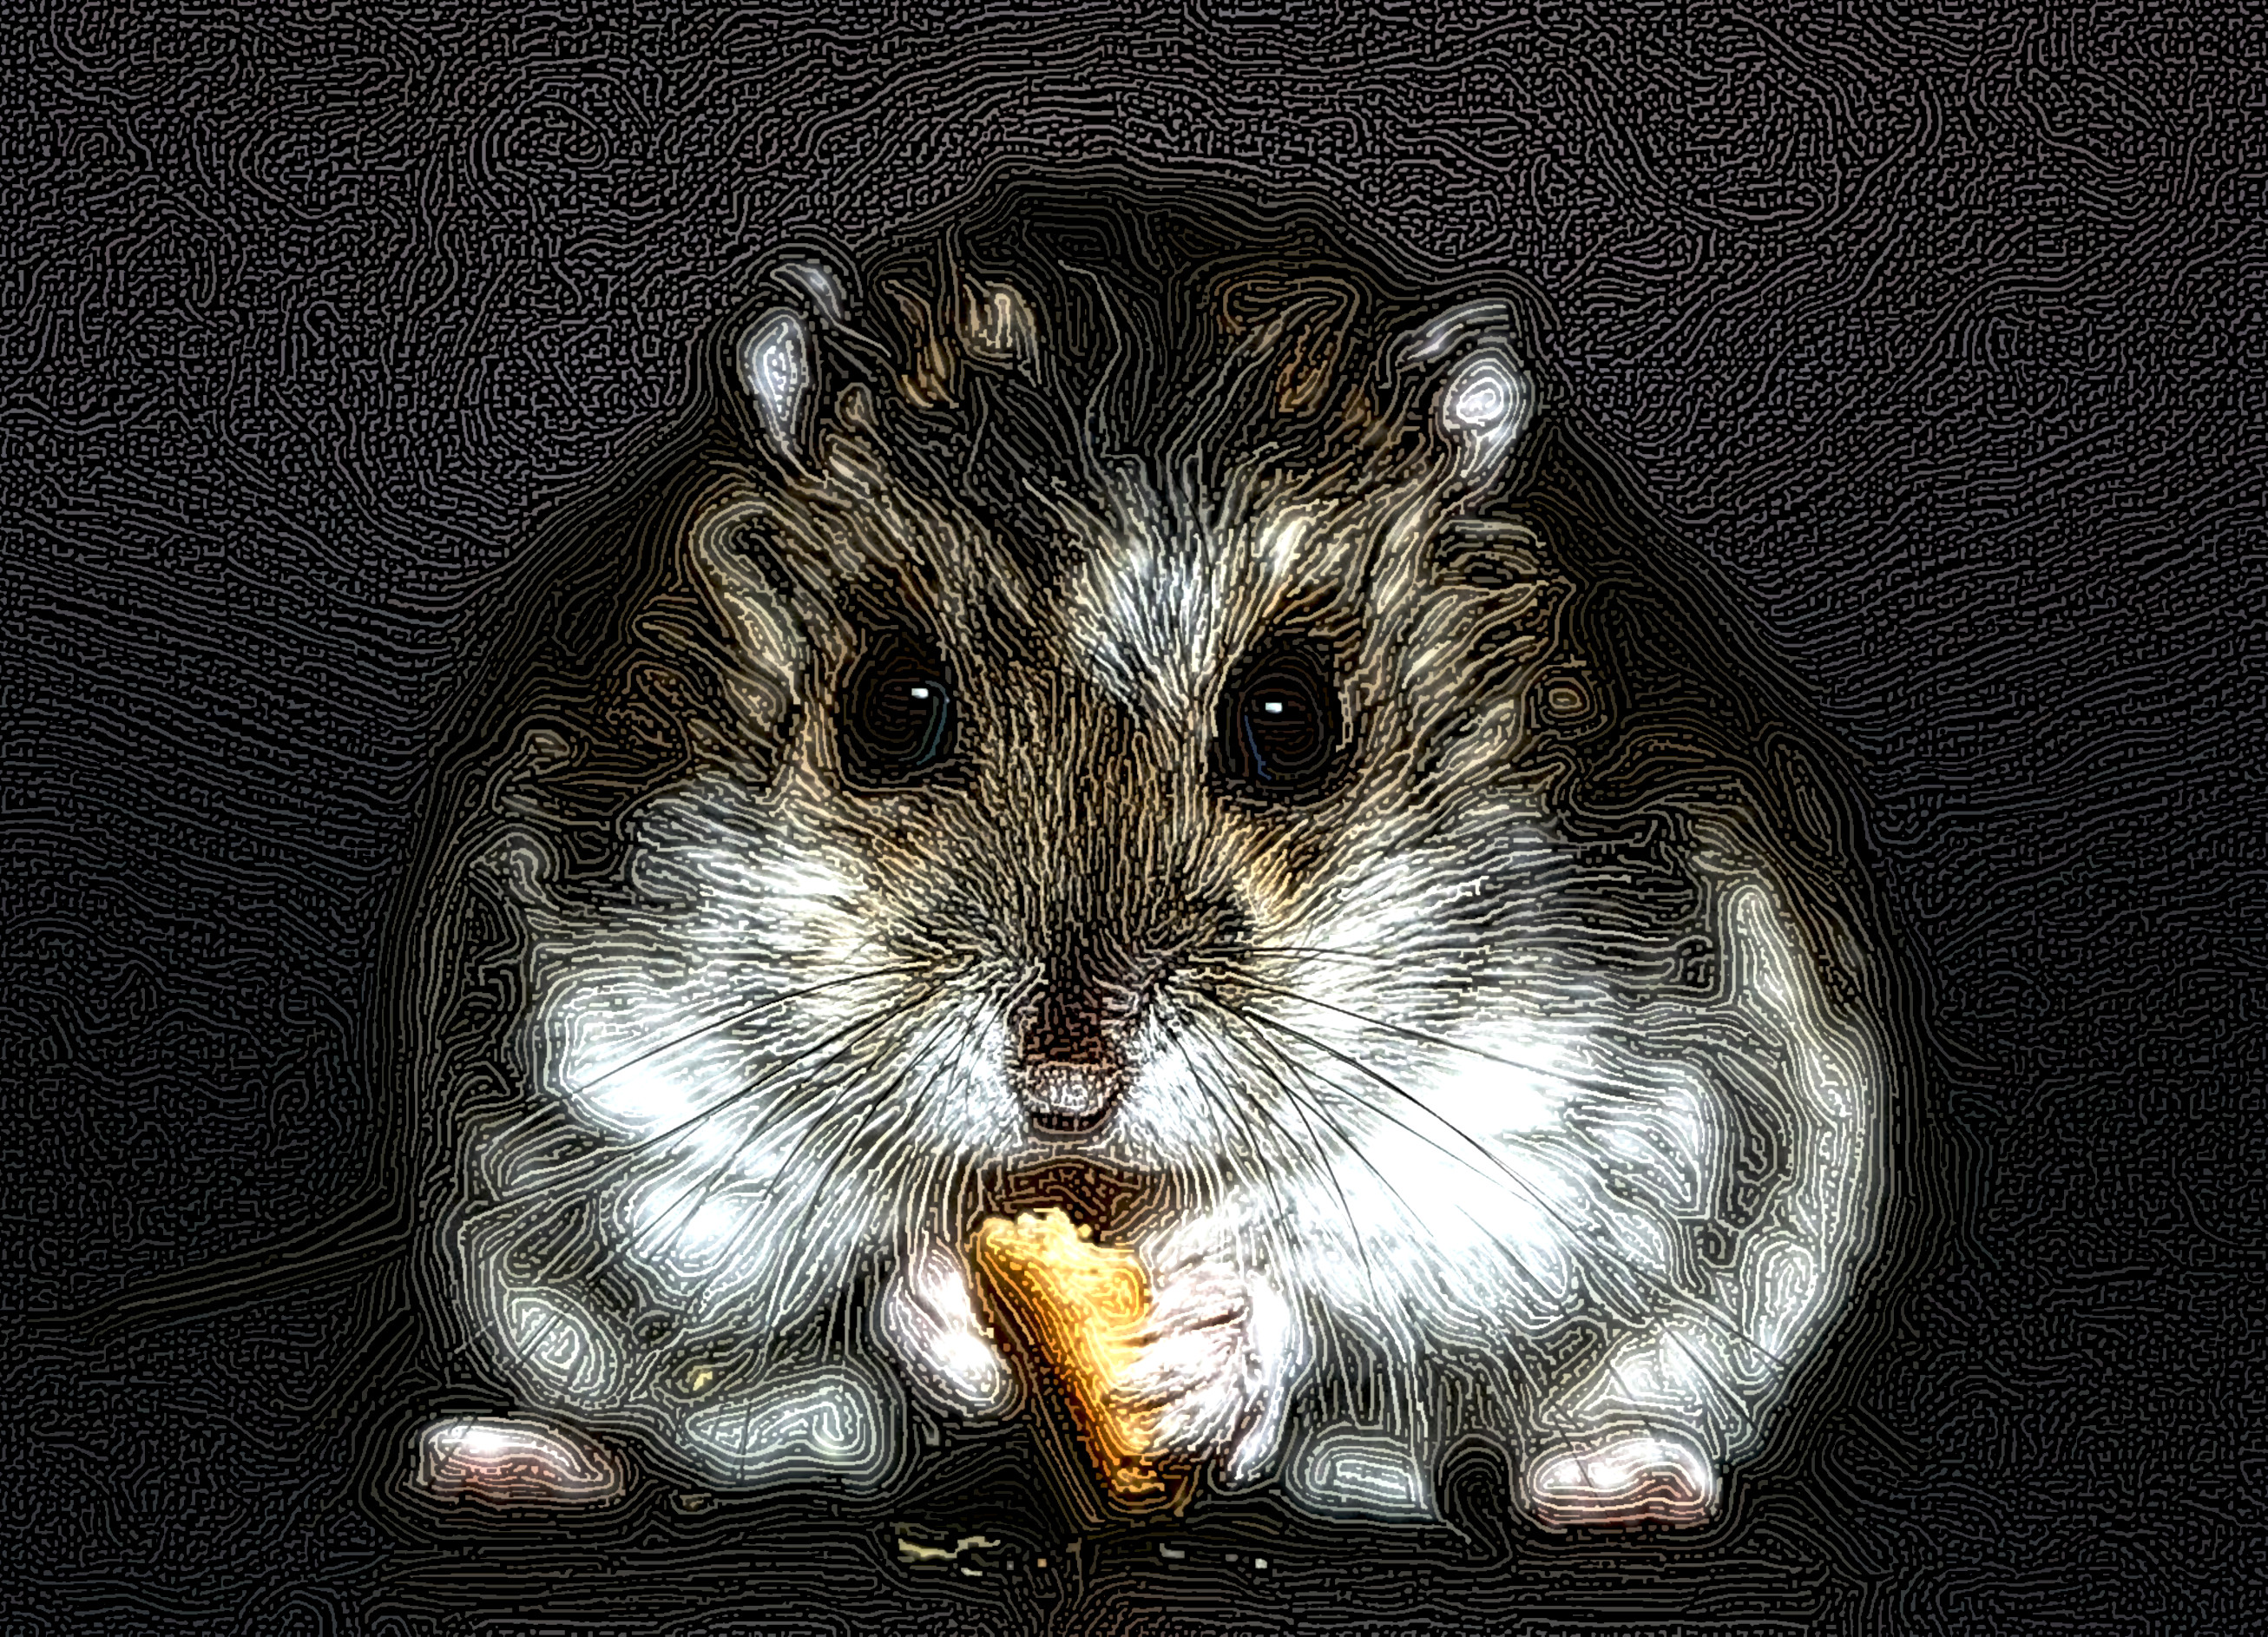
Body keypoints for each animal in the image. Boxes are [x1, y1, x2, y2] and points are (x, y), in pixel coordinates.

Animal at [398, 189, 1893, 1529]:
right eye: (891, 702)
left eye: (1290, 721)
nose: (1067, 1089)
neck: (1099, 1189)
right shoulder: (620, 1061)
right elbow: (796, 1240)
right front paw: (944, 1302)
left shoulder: (1569, 1101)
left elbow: (1369, 1255)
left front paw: (1205, 1345)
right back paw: (506, 1458)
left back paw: (1618, 1484)